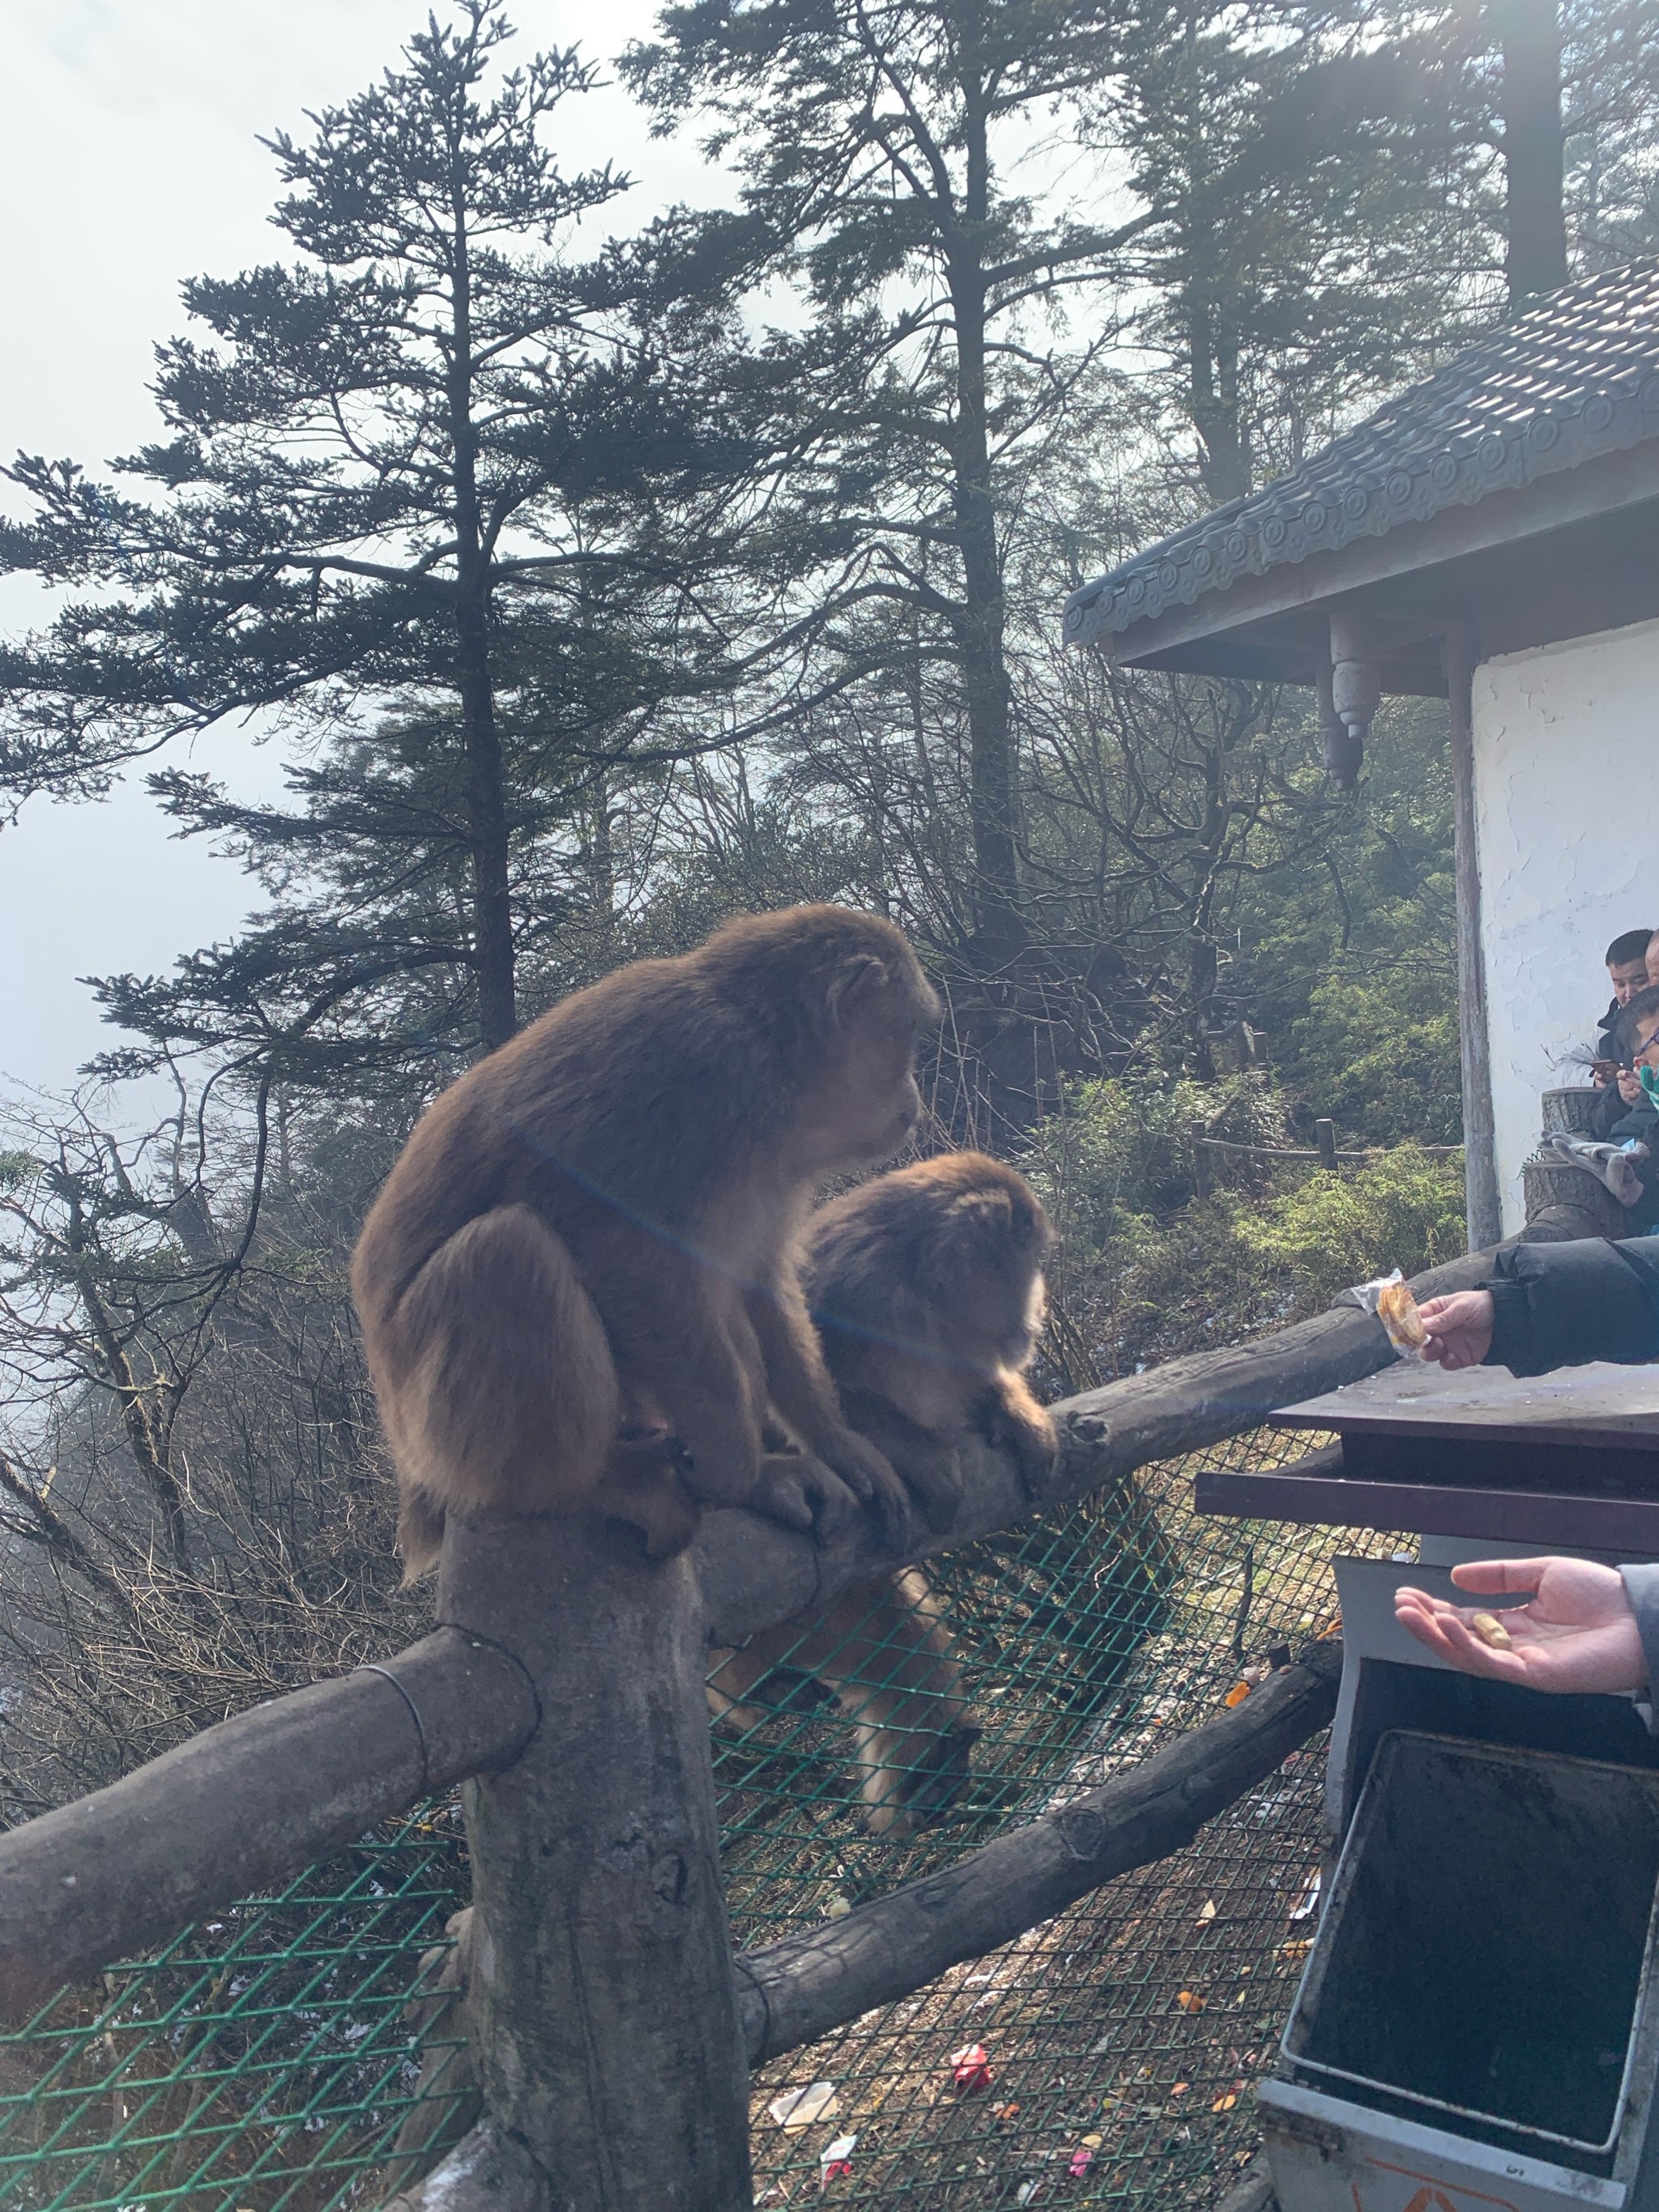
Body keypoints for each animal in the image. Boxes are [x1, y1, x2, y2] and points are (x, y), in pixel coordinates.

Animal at [352, 907, 942, 1583]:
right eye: (907, 1040)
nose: (916, 1102)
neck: (771, 1052)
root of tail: (412, 1480)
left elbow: (756, 1277)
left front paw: (837, 1443)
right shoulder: (703, 1071)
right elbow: (626, 1261)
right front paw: (746, 1476)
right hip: (439, 1431)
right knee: (509, 1252)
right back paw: (587, 1488)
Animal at [707, 1159, 1057, 1831]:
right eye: (1026, 1265)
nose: (1039, 1305)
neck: (920, 1300)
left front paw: (1015, 1415)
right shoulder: (859, 1293)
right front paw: (912, 1455)